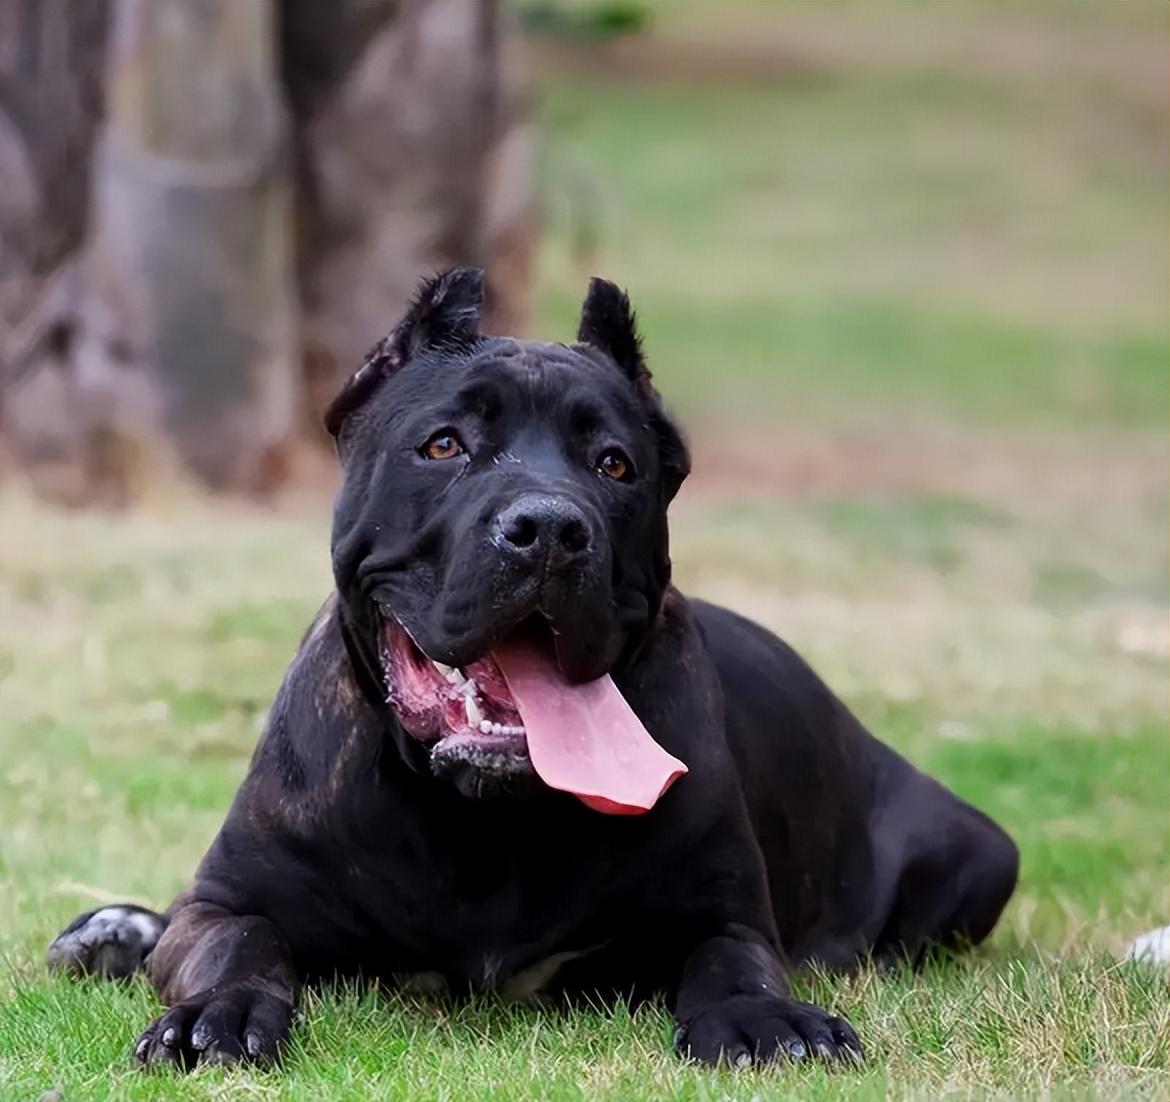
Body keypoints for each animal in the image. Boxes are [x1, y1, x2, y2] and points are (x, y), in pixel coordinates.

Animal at [47, 267, 1015, 1071]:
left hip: (981, 859)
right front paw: (217, 1013)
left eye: (615, 464)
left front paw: (764, 1018)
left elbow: (731, 963)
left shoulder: (723, 913)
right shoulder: (230, 898)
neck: (486, 822)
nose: (549, 527)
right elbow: (236, 944)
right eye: (443, 446)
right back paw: (114, 930)